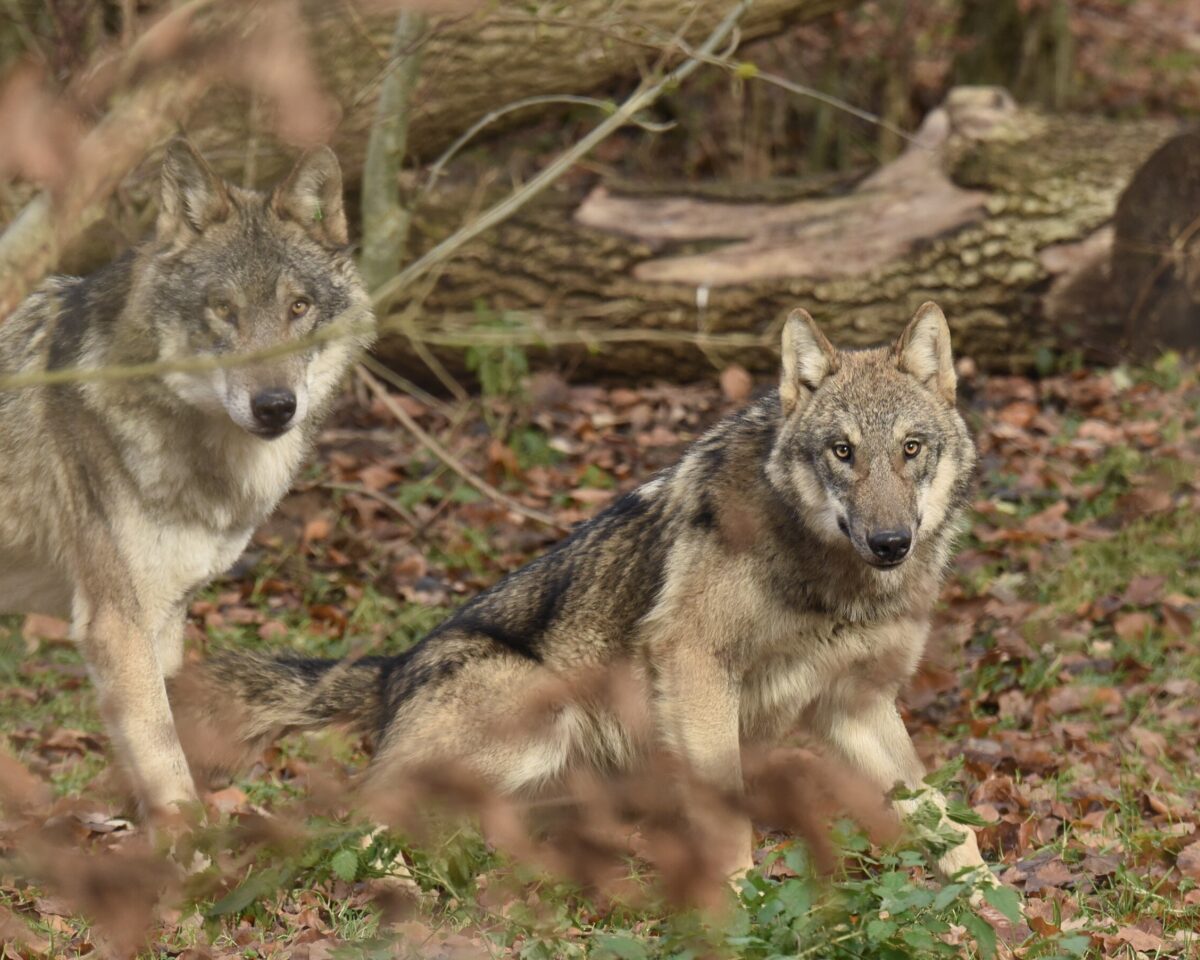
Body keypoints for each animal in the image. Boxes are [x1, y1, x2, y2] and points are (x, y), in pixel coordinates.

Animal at [0, 138, 374, 817]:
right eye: (224, 309)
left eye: (298, 307)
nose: (275, 407)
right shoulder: (116, 622)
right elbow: (165, 756)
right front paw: (190, 842)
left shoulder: (166, 615)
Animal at [192, 302, 990, 883]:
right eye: (842, 451)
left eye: (911, 449)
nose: (890, 542)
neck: (832, 582)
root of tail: (391, 671)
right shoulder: (694, 665)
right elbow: (727, 813)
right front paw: (740, 903)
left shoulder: (854, 706)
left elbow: (945, 816)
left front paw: (989, 906)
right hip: (538, 718)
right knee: (359, 821)